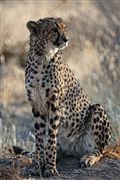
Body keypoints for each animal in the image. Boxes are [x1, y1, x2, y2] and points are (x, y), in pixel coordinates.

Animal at [24, 17, 111, 177]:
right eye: (54, 29)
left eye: (65, 28)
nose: (66, 39)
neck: (42, 57)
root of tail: (74, 149)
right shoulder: (36, 107)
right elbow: (40, 141)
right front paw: (38, 166)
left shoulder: (54, 106)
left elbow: (50, 140)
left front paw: (50, 169)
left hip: (97, 109)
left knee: (100, 150)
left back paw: (89, 158)